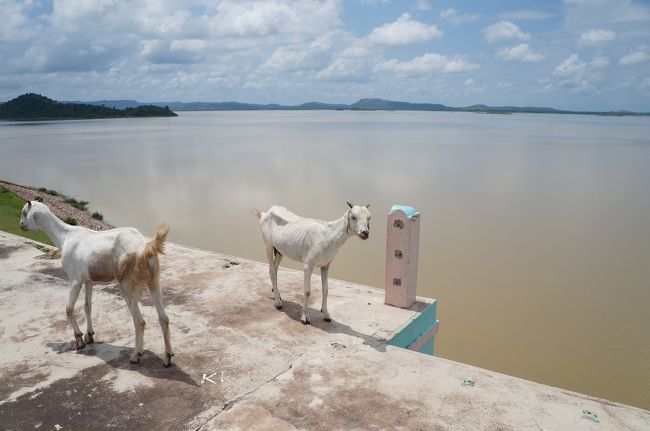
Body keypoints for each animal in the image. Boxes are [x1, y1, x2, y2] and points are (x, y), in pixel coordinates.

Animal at [20, 202, 173, 368]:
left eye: (24, 212)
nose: (21, 225)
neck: (65, 237)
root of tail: (145, 246)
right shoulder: (88, 280)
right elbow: (87, 306)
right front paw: (90, 336)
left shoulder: (75, 279)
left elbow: (69, 309)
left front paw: (79, 340)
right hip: (154, 280)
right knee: (164, 318)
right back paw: (167, 358)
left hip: (128, 282)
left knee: (139, 321)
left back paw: (136, 356)